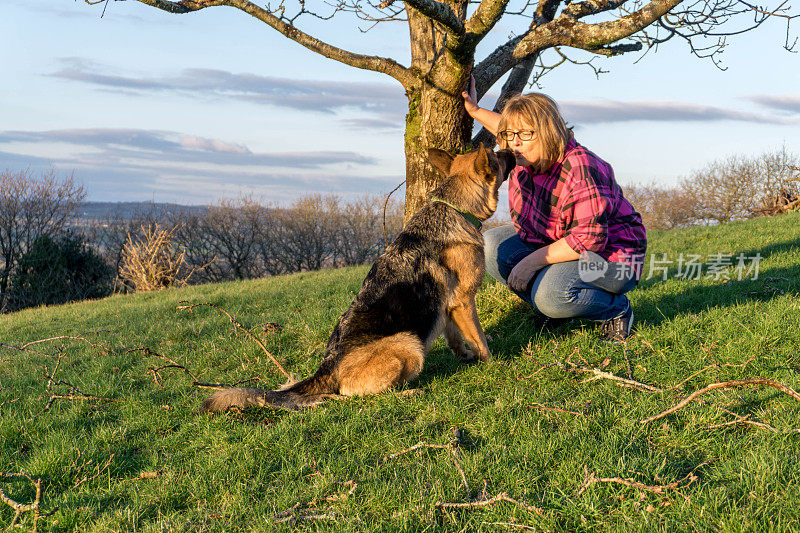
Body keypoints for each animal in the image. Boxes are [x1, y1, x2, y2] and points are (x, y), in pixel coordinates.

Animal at [197, 144, 516, 412]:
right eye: (498, 158)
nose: (510, 149)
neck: (453, 207)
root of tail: (326, 368)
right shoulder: (464, 300)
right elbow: (478, 338)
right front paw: (492, 363)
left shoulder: (448, 306)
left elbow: (456, 337)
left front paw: (465, 356)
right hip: (409, 344)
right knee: (356, 395)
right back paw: (406, 392)